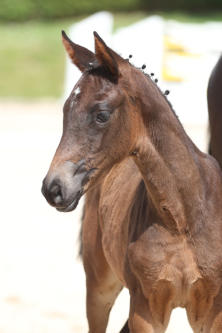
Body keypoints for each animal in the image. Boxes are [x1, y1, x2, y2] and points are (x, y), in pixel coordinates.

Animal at [42, 31, 222, 332]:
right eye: (66, 110)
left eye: (101, 114)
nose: (53, 188)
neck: (182, 220)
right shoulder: (145, 310)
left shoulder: (211, 312)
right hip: (99, 287)